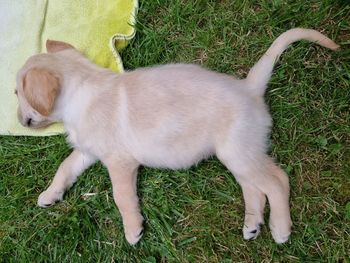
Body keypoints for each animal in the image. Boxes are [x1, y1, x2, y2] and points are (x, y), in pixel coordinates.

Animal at [15, 28, 338, 245]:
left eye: (18, 93)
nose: (19, 120)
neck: (82, 92)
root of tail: (250, 87)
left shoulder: (120, 162)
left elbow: (122, 197)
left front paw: (133, 230)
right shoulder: (88, 151)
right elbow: (65, 168)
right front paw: (50, 194)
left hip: (239, 152)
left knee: (277, 181)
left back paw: (280, 228)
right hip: (238, 153)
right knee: (254, 188)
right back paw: (252, 225)